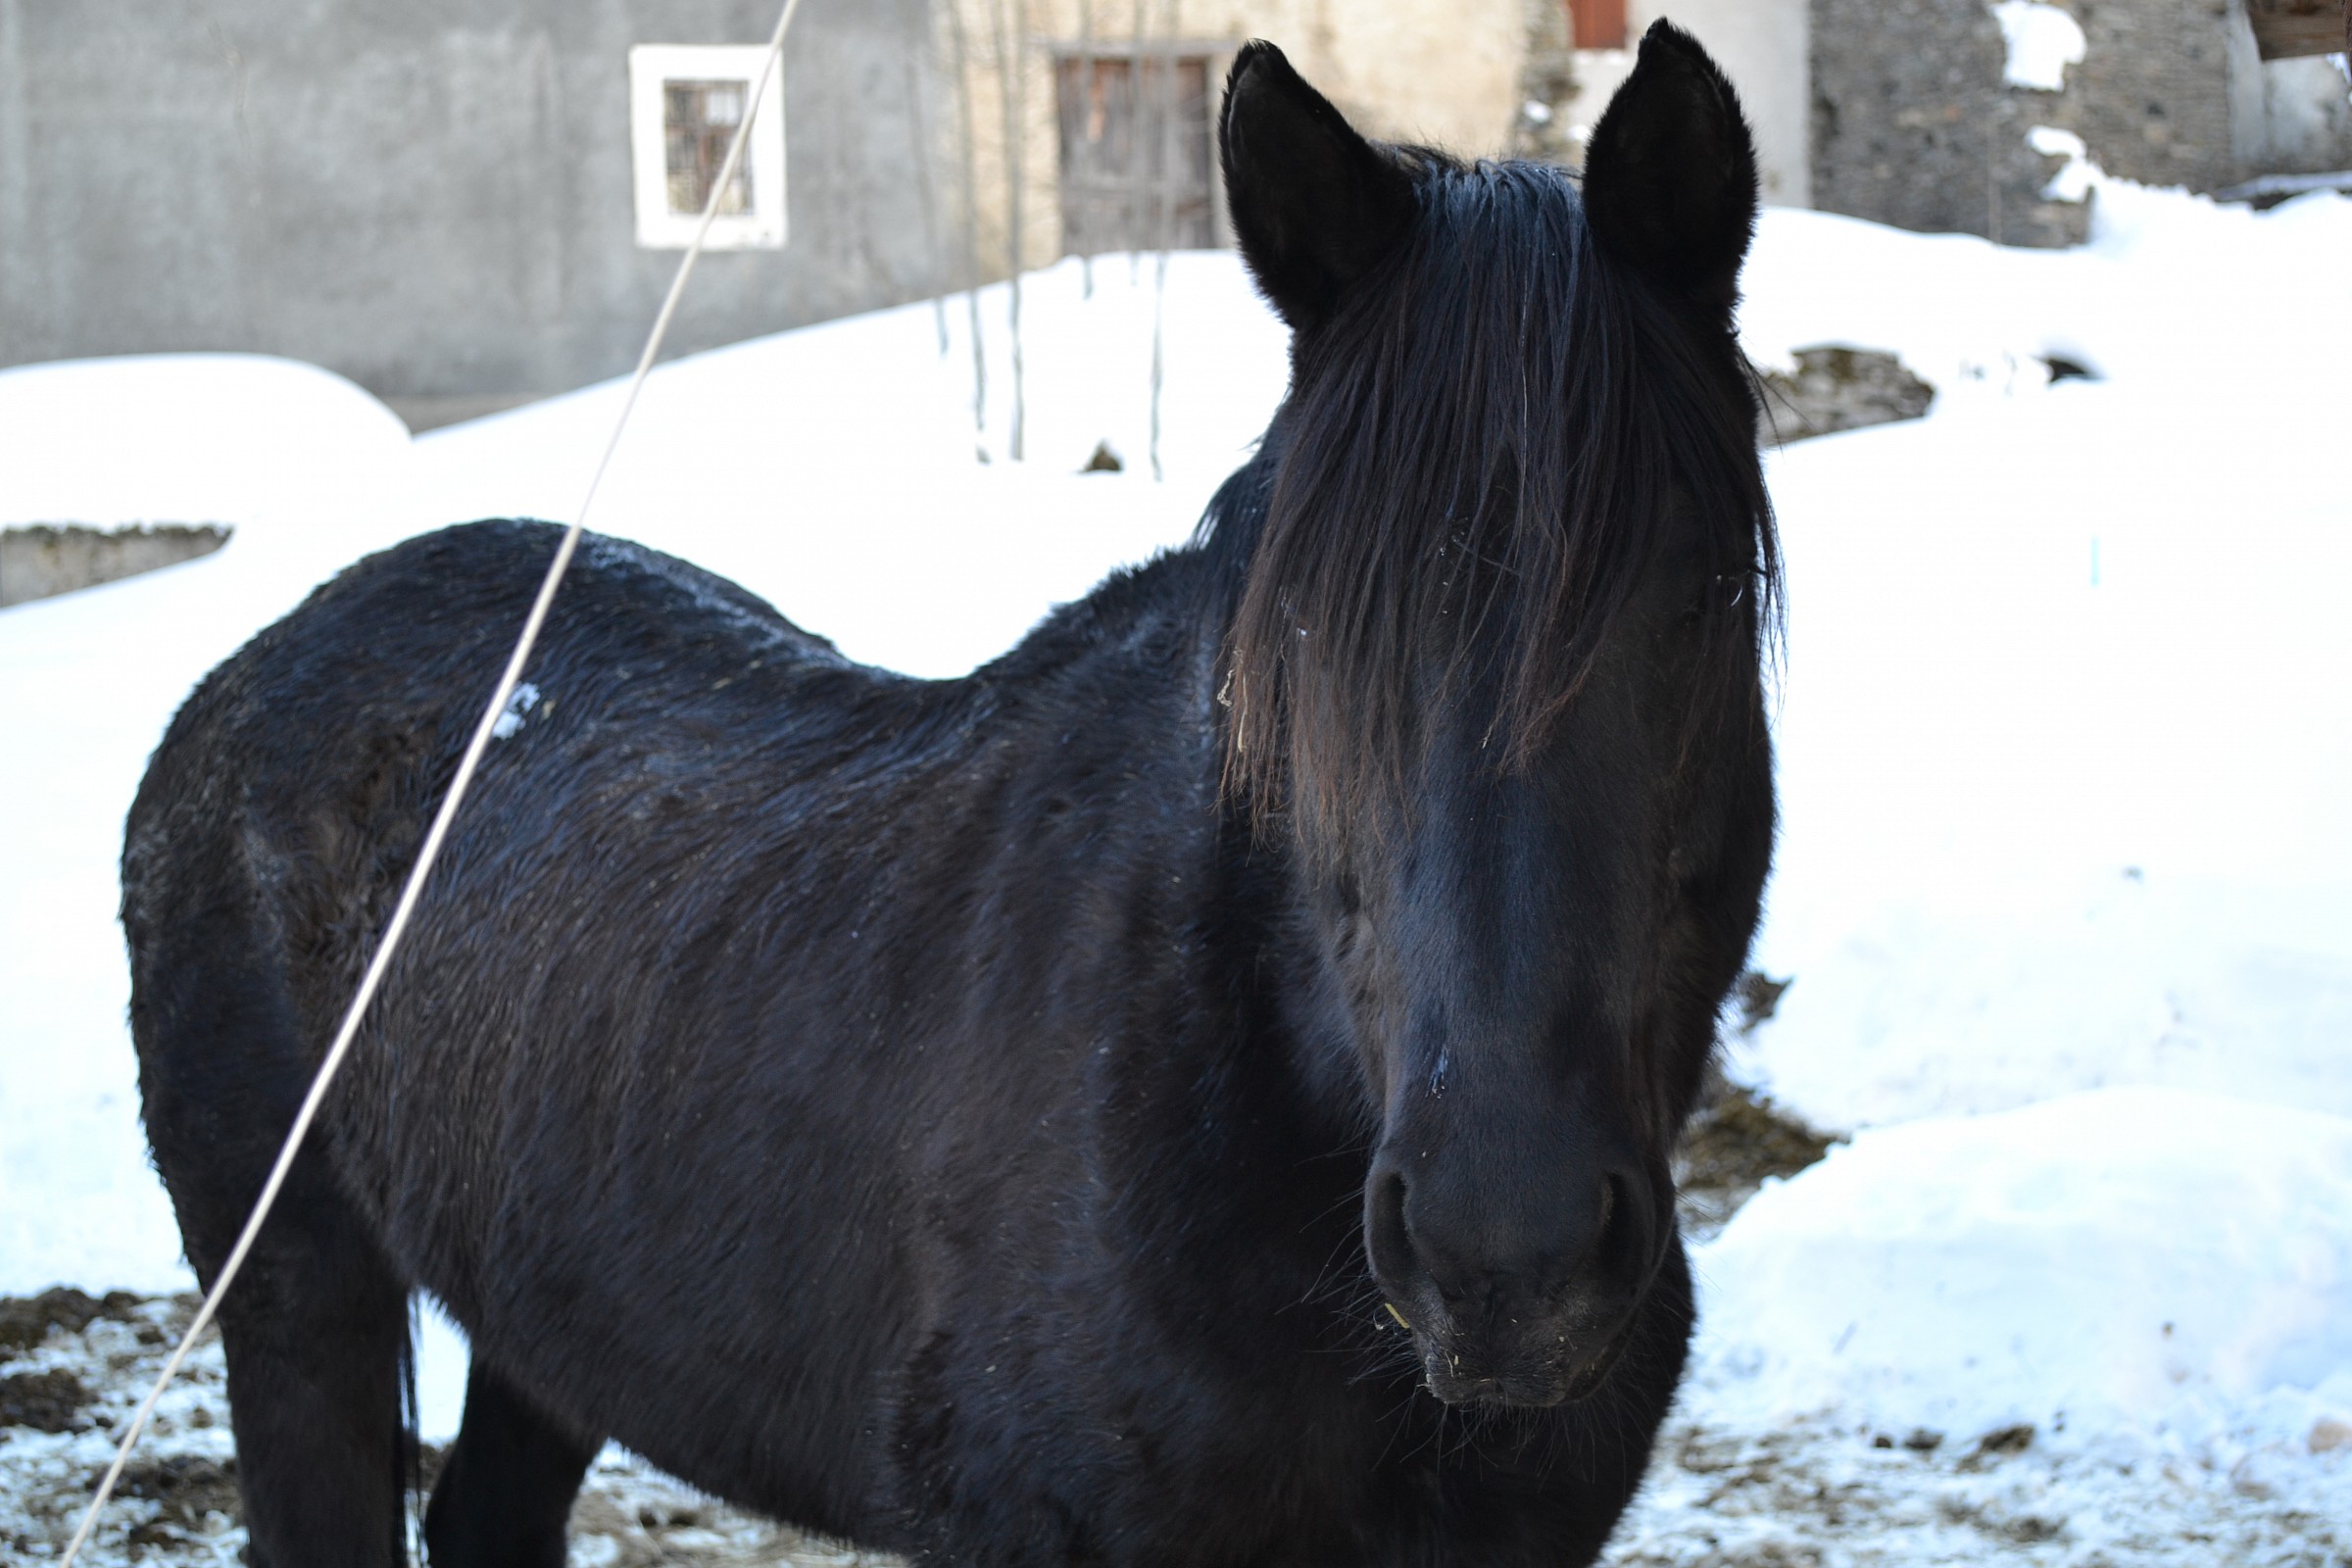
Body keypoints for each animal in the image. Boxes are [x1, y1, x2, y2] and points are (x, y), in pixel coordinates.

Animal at [121, 24, 1774, 1568]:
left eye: (1697, 598)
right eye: (1309, 633)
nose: (1510, 1250)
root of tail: (247, 674)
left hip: (549, 1309)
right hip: (293, 1291)